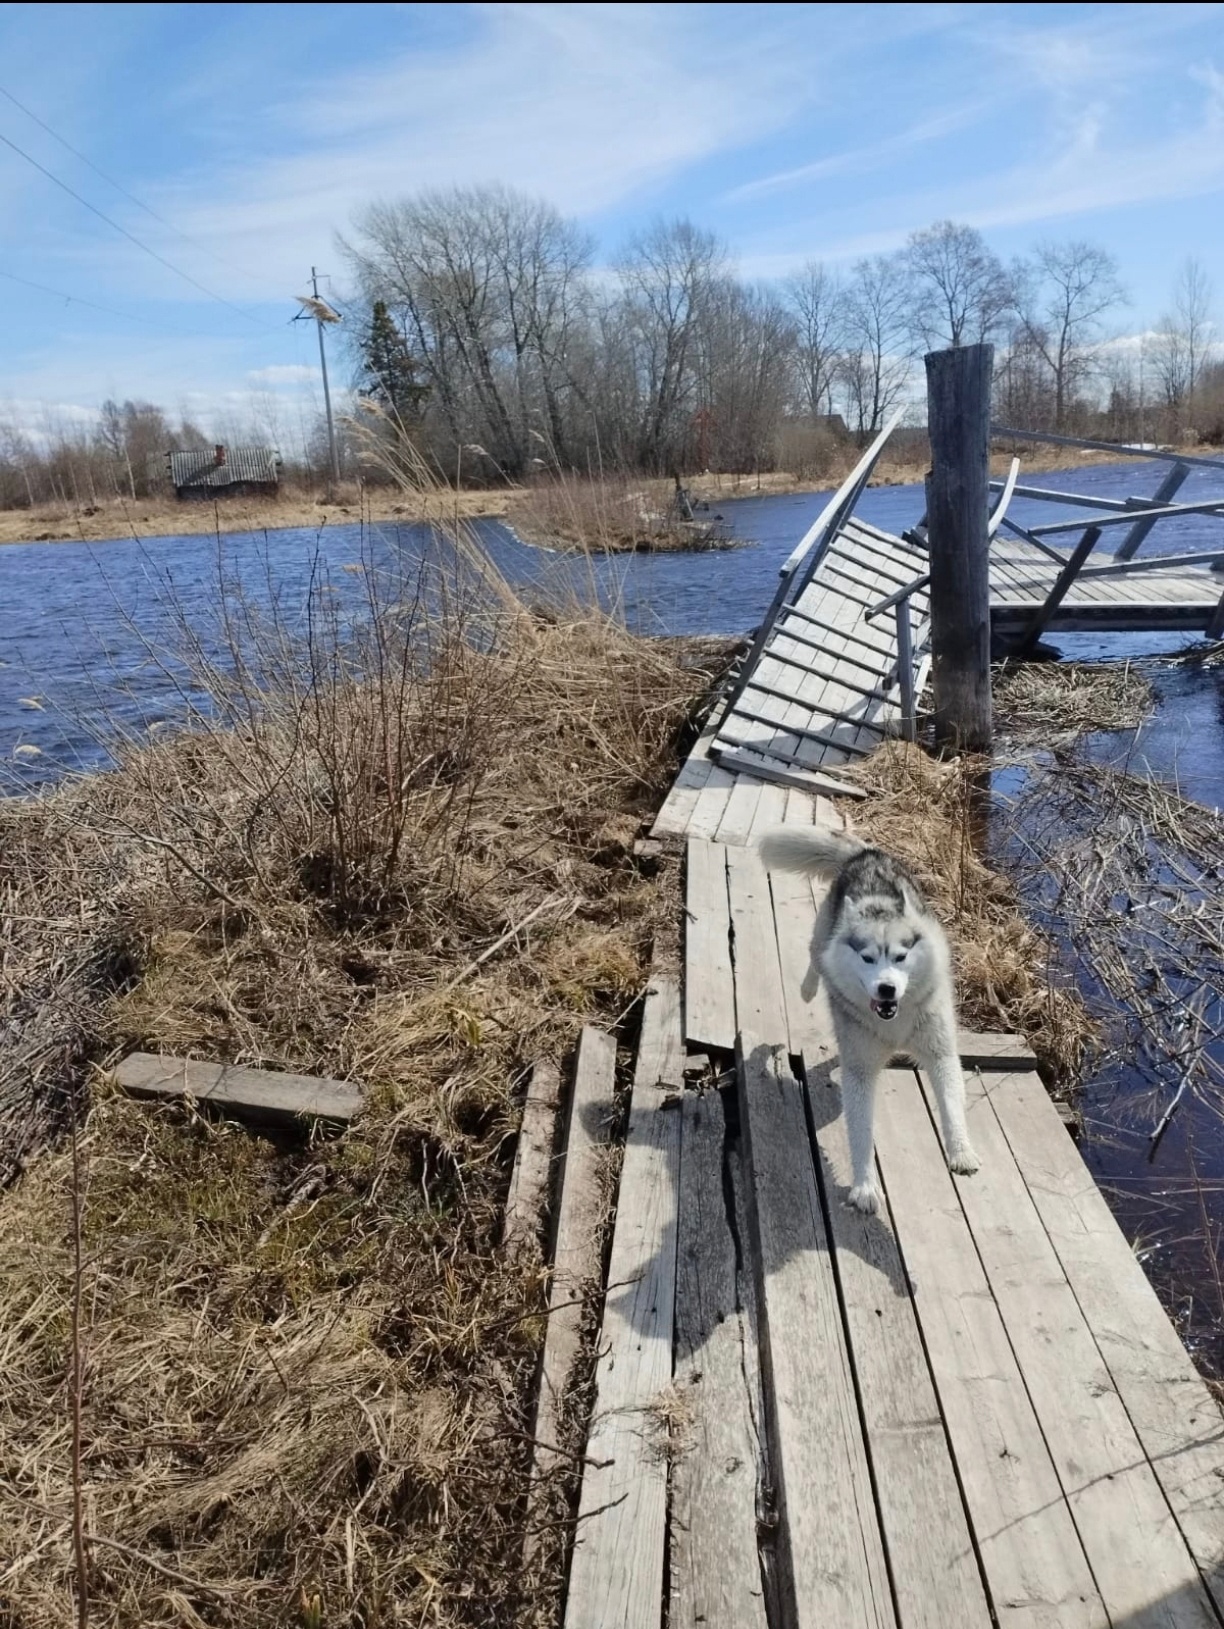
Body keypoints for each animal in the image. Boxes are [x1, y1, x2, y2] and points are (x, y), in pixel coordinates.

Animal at [762, 827, 984, 1211]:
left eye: (900, 956)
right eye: (867, 958)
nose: (886, 988)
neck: (893, 1024)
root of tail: (867, 854)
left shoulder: (940, 1051)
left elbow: (951, 1102)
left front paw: (961, 1151)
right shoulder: (860, 1072)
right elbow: (861, 1133)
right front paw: (865, 1186)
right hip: (824, 939)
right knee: (816, 956)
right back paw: (808, 987)